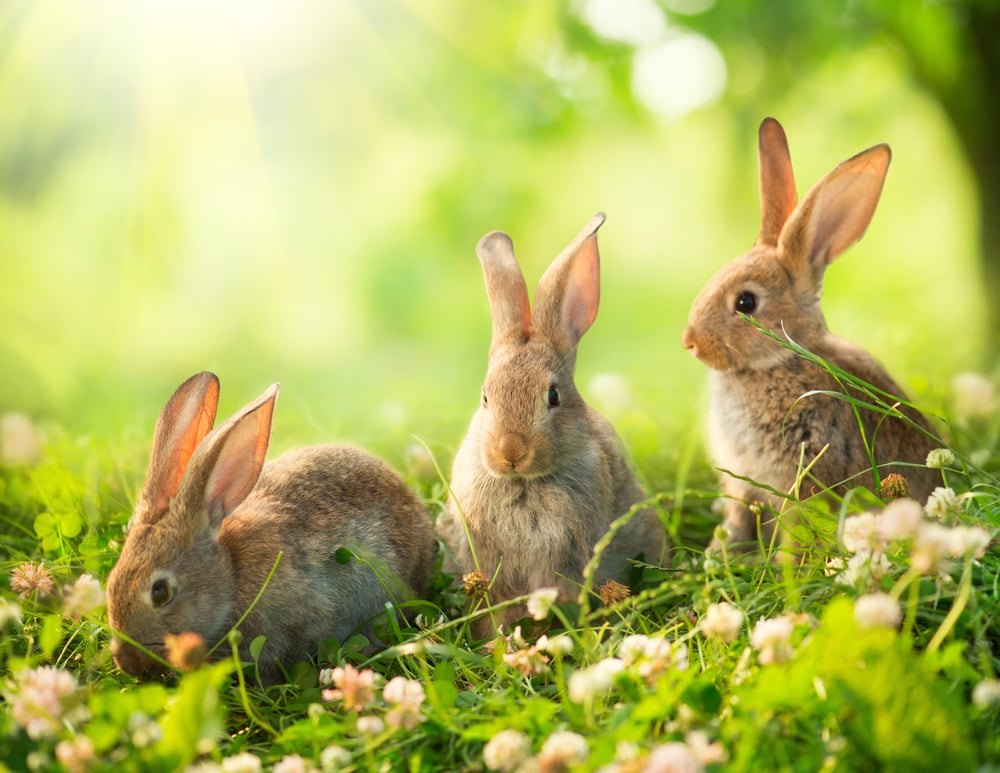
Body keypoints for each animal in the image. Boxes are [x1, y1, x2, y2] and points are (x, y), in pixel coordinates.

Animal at [681, 117, 941, 553]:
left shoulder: (806, 466)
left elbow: (799, 523)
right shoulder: (743, 482)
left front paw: (786, 560)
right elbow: (738, 515)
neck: (779, 360)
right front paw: (719, 553)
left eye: (746, 302)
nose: (690, 342)